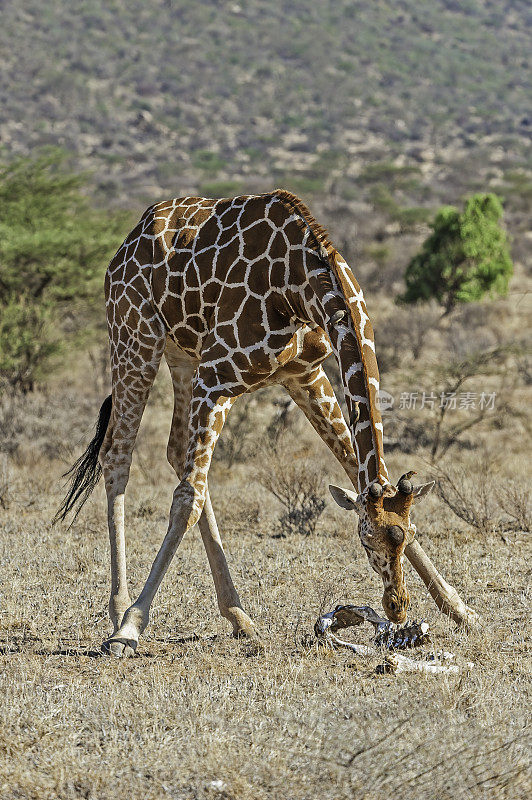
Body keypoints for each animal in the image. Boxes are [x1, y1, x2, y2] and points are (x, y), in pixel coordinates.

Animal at [54, 189, 478, 656]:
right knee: (120, 455)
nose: (397, 608)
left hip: (182, 355)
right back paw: (119, 610)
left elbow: (353, 465)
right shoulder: (217, 377)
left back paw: (239, 618)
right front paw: (131, 626)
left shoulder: (303, 372)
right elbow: (184, 501)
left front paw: (461, 610)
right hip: (135, 336)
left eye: (410, 533)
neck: (300, 285)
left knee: (178, 452)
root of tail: (127, 242)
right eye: (365, 539)